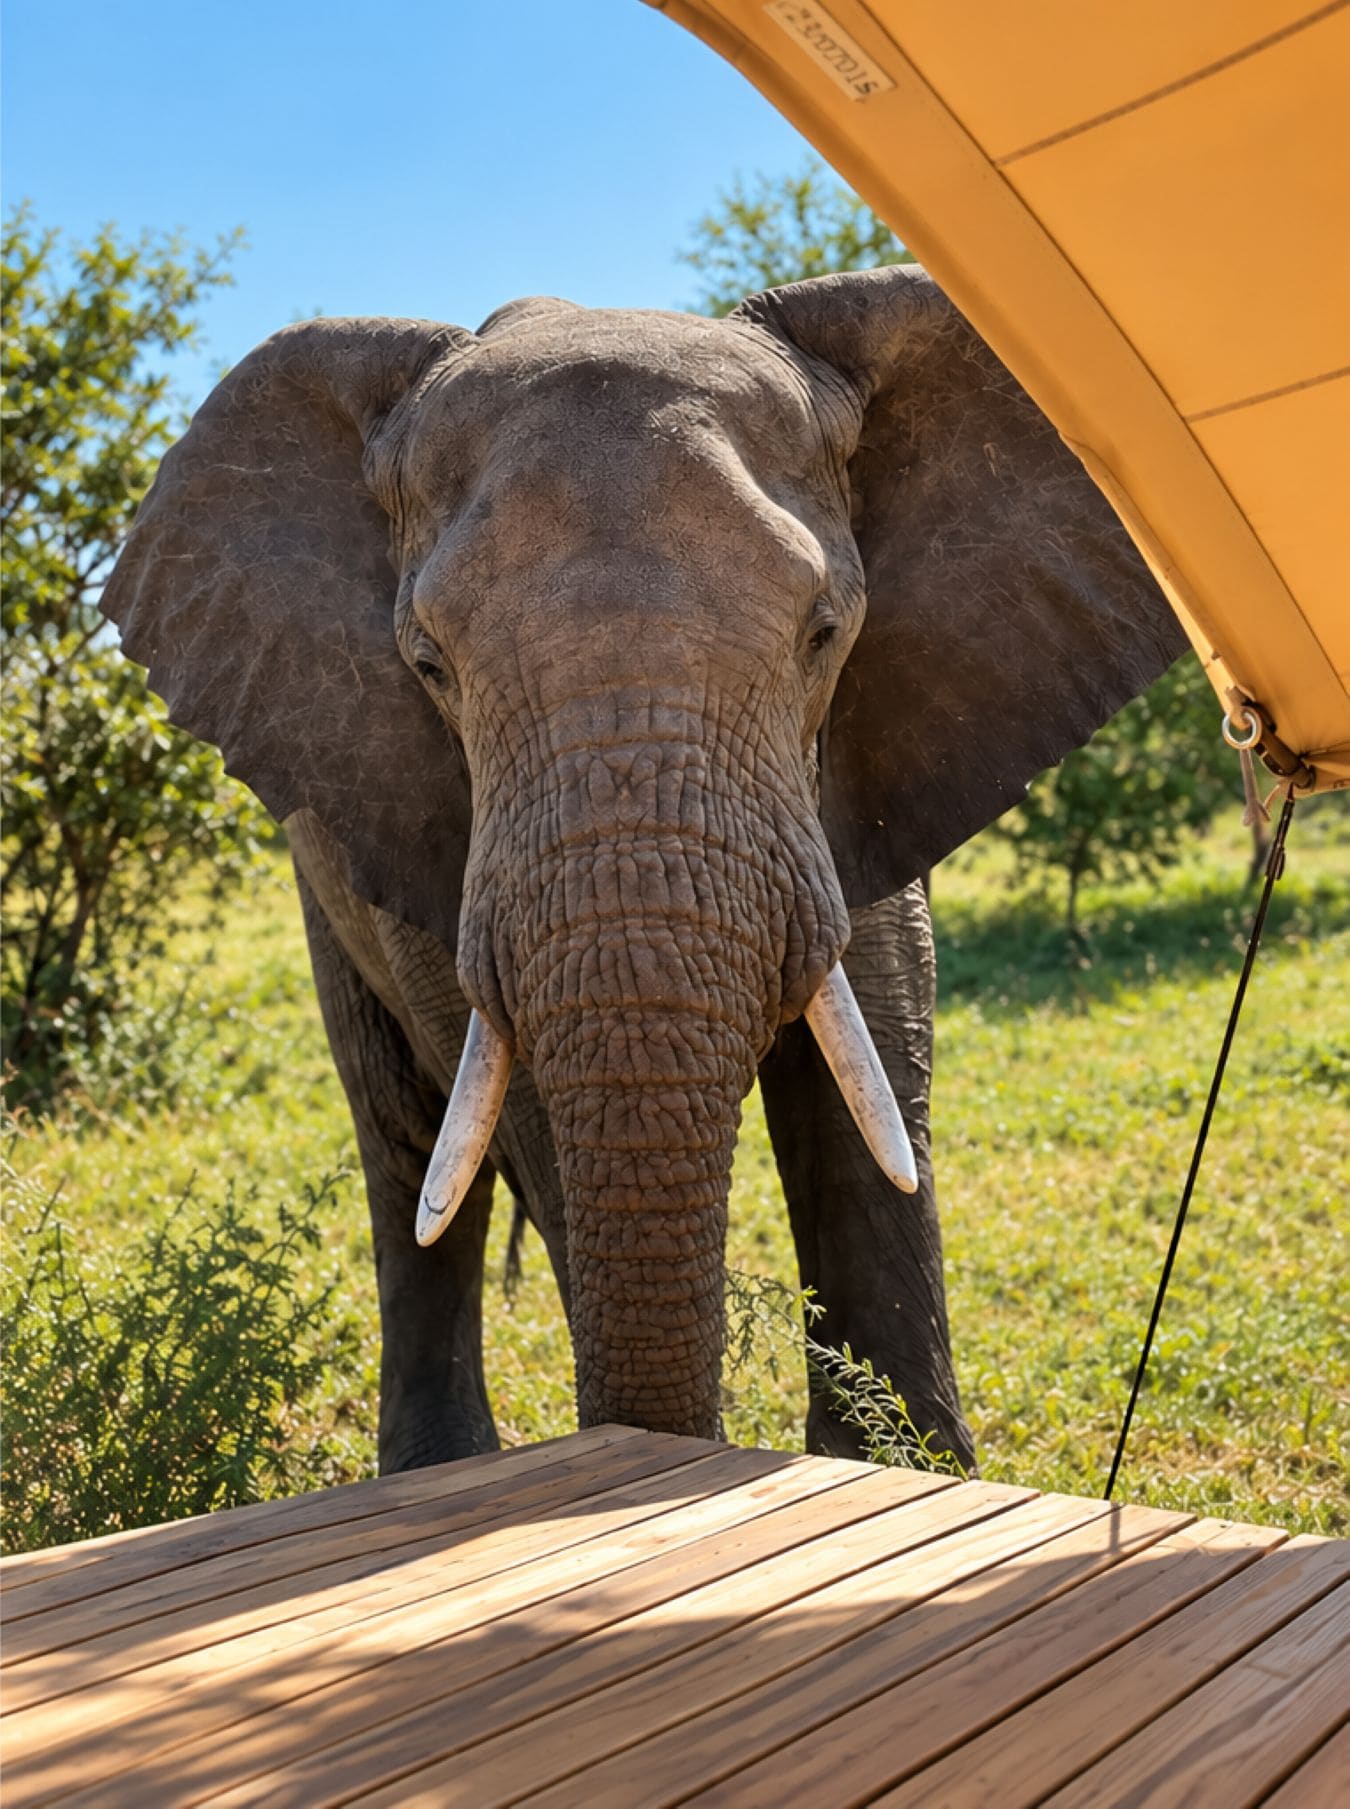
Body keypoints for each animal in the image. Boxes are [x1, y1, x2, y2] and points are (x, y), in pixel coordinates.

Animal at [101, 264, 1183, 1475]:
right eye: (428, 666)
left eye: (825, 634)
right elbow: (523, 1101)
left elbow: (876, 1068)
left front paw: (908, 1475)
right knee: (406, 1140)